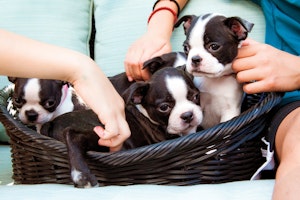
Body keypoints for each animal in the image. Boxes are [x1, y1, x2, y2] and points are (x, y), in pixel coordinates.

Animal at [39, 55, 203, 188]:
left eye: (196, 96)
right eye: (164, 107)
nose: (187, 115)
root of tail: (52, 122)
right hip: (102, 135)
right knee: (73, 135)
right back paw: (81, 174)